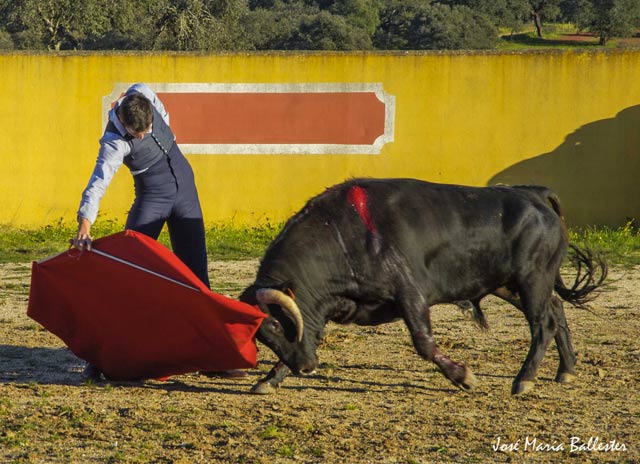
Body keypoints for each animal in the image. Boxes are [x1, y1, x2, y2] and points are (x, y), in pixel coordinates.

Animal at [239, 178, 604, 396]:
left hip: (532, 279)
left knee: (543, 323)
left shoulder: (409, 293)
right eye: (263, 336)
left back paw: (524, 380)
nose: (305, 368)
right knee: (557, 310)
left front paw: (463, 376)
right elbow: (309, 338)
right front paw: (268, 379)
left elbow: (424, 343)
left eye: (276, 324)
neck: (342, 234)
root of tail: (532, 192)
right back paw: (566, 370)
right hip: (508, 284)